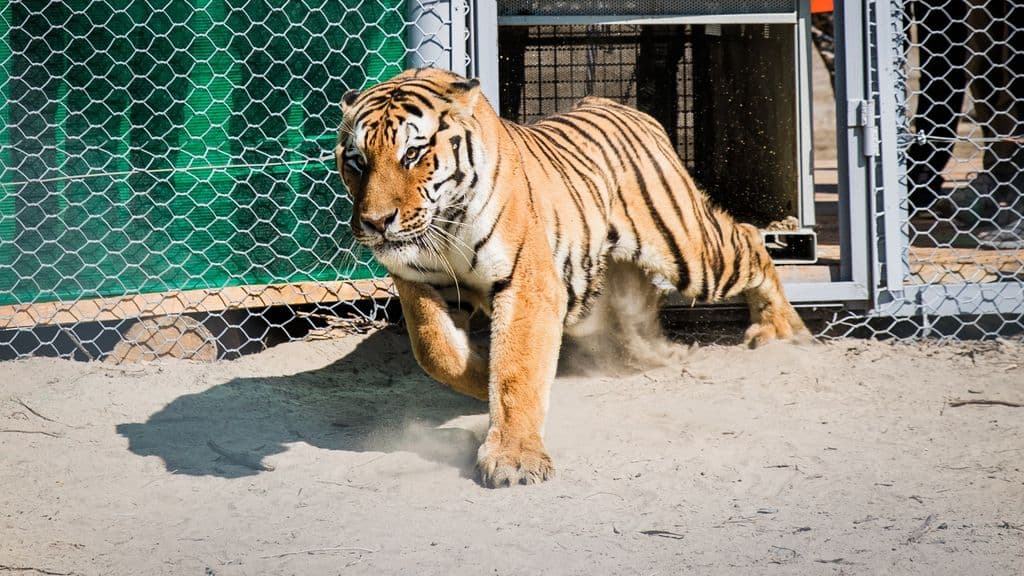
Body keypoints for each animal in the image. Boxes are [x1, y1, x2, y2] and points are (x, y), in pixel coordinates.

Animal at [335, 68, 806, 487]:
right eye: (357, 161)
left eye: (412, 154)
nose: (376, 223)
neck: (443, 224)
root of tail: (612, 103)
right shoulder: (419, 282)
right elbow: (436, 351)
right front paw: (481, 372)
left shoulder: (528, 284)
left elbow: (517, 370)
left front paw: (514, 459)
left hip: (690, 252)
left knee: (749, 238)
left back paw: (783, 330)